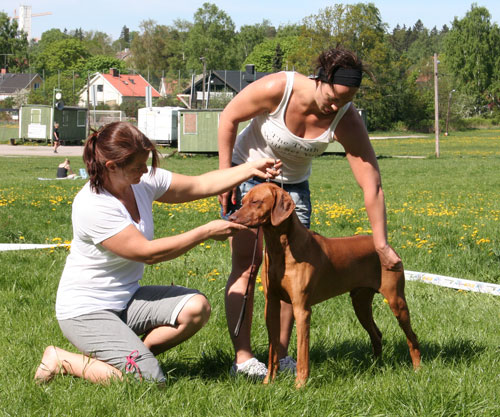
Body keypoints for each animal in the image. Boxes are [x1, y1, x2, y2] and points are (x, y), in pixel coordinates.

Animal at [229, 182, 420, 386]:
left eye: (256, 202)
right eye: (242, 201)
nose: (231, 217)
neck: (281, 249)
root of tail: (387, 246)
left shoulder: (302, 309)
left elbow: (303, 352)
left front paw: (300, 384)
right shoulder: (271, 304)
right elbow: (273, 348)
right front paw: (268, 382)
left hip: (396, 301)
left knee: (412, 337)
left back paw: (417, 369)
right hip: (360, 303)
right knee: (377, 334)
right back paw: (376, 365)